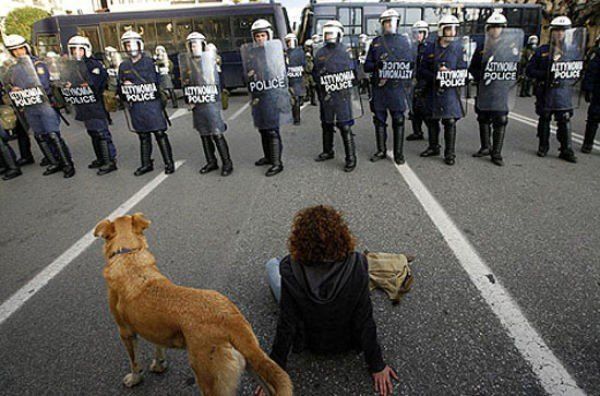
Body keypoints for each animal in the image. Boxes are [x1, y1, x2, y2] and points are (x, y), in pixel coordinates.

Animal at [94, 213, 292, 396]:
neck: (129, 254)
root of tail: (232, 321)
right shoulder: (154, 329)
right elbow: (158, 347)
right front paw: (159, 365)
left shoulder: (125, 331)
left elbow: (134, 362)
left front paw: (135, 379)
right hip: (252, 364)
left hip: (208, 380)